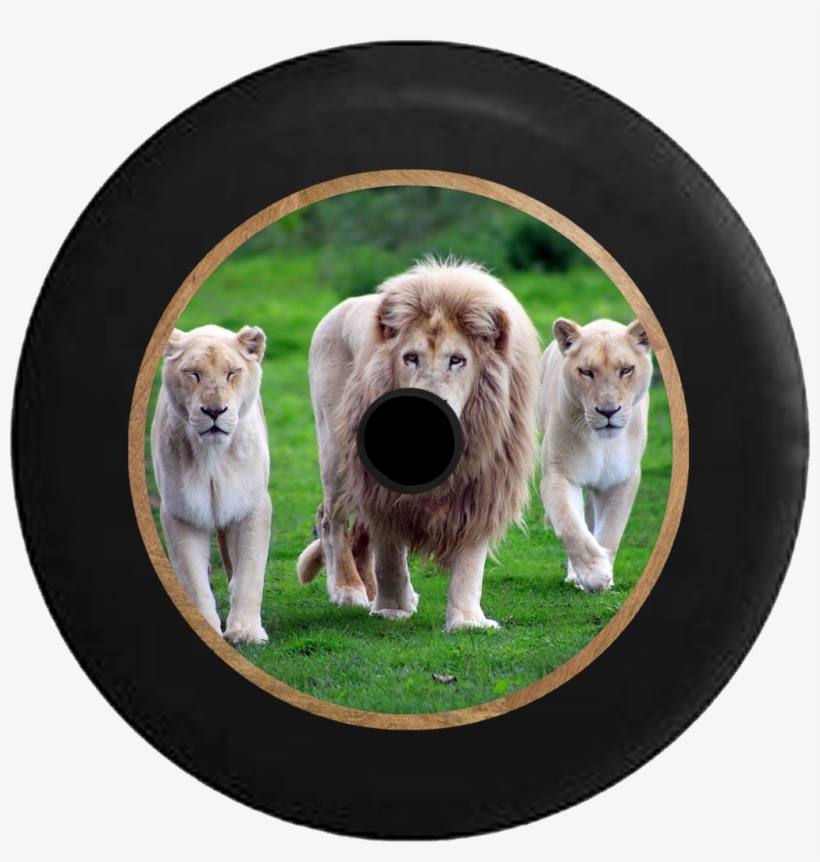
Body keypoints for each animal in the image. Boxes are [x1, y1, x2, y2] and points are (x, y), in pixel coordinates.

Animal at [151, 324, 271, 643]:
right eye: (193, 373)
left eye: (232, 373)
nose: (214, 411)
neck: (213, 455)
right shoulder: (182, 512)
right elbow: (192, 579)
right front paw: (207, 627)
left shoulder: (252, 505)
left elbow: (250, 572)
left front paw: (246, 631)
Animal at [297, 259, 541, 630]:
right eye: (410, 357)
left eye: (457, 360)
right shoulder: (381, 489)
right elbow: (390, 553)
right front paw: (393, 609)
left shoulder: (483, 487)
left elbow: (470, 561)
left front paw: (467, 621)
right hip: (336, 453)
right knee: (331, 518)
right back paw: (349, 590)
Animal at [538, 317, 653, 593]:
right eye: (586, 372)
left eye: (626, 370)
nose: (608, 411)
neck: (602, 443)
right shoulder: (558, 473)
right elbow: (569, 525)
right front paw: (594, 574)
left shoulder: (622, 479)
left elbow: (611, 530)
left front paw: (605, 576)